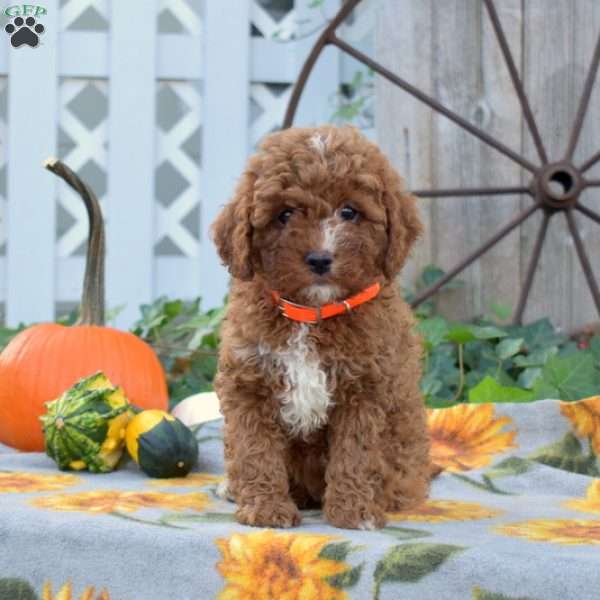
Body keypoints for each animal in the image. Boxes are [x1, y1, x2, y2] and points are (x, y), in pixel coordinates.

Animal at [211, 124, 432, 528]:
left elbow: (357, 453)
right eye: (284, 214)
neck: (312, 315)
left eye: (350, 211)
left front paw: (355, 511)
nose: (319, 259)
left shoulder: (367, 389)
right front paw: (265, 508)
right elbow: (255, 450)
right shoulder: (248, 383)